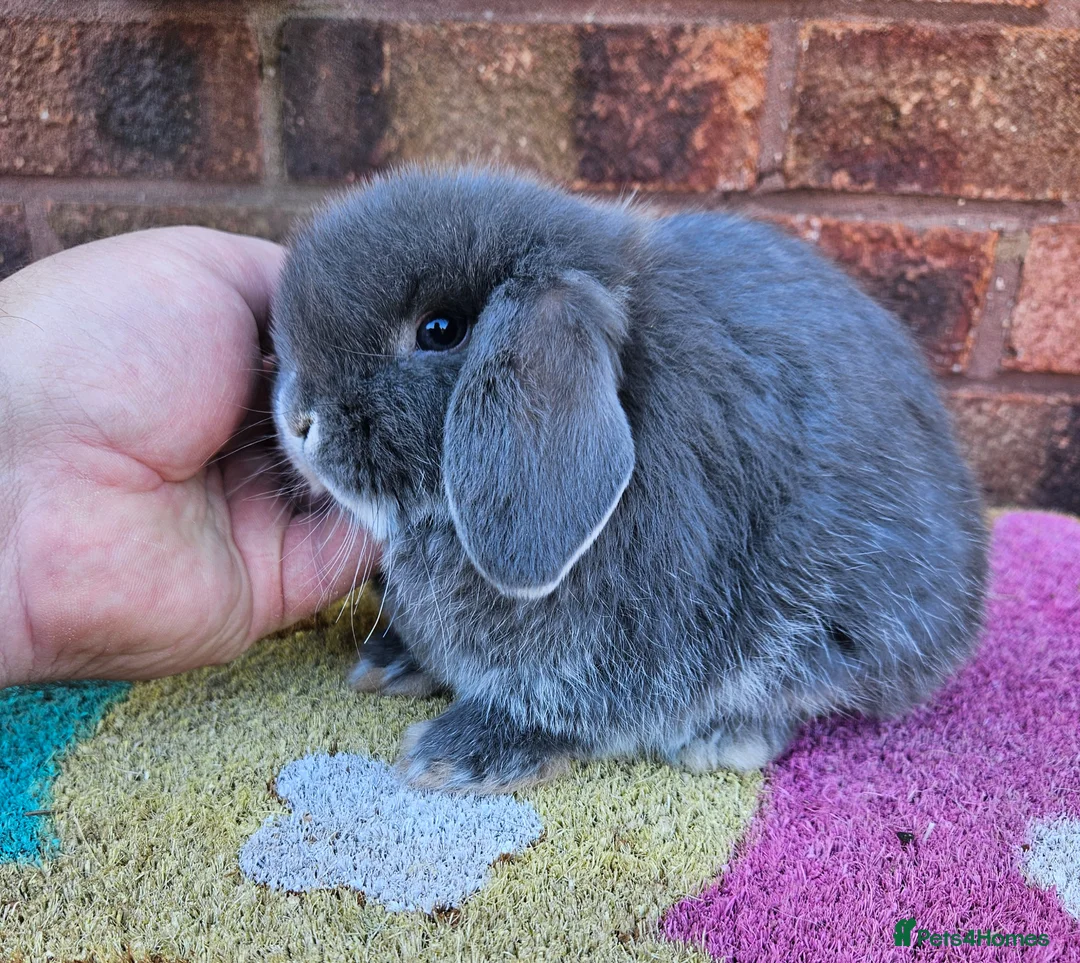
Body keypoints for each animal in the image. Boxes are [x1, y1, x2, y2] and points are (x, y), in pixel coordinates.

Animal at [270, 166, 988, 794]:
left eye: (440, 329)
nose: (298, 419)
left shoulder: (636, 636)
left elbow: (575, 706)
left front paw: (460, 755)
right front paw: (395, 660)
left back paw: (723, 737)